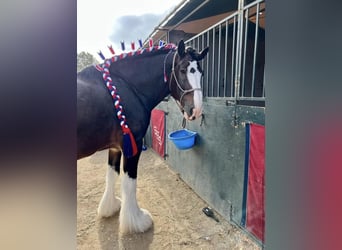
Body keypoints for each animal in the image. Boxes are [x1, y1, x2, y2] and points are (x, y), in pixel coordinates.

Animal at [77, 40, 208, 233]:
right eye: (183, 70)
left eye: (201, 72)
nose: (196, 110)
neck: (124, 87)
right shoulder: (133, 145)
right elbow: (129, 183)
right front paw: (137, 221)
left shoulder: (115, 147)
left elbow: (111, 175)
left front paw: (110, 207)